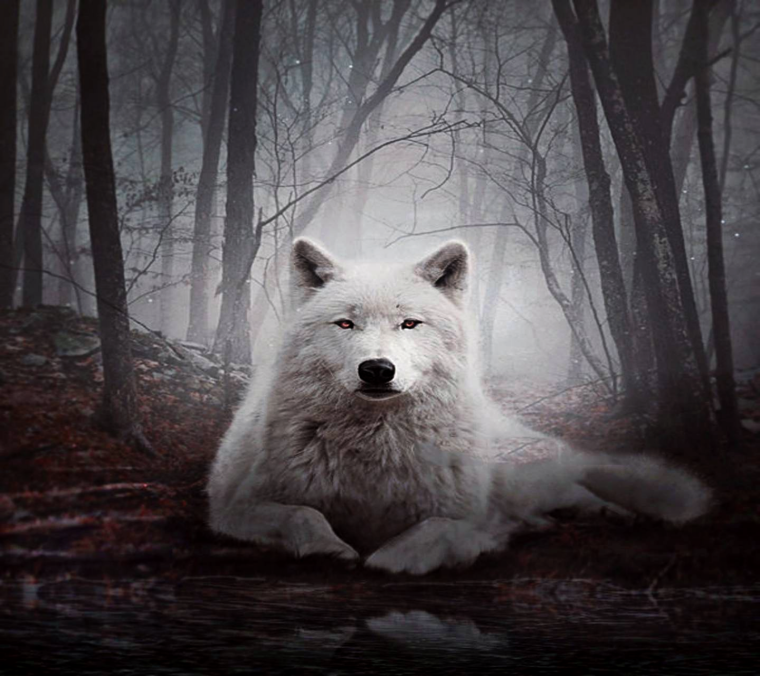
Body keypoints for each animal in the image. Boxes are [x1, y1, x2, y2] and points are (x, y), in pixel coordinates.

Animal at [207, 238, 711, 575]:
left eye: (410, 323)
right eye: (346, 324)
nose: (377, 370)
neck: (375, 449)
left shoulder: (467, 516)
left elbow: (434, 530)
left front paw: (388, 559)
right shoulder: (233, 508)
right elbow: (302, 513)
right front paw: (331, 549)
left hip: (522, 475)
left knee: (574, 488)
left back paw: (613, 513)